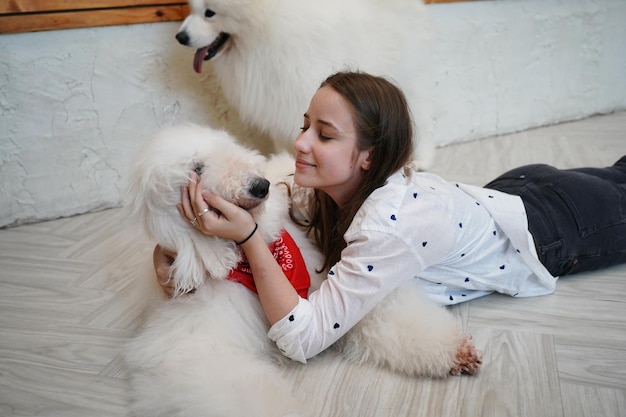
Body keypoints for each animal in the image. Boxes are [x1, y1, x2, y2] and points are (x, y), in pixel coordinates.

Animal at [124, 123, 480, 416]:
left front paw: (454, 351)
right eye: (196, 168)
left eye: (225, 146)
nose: (261, 186)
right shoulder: (197, 352)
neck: (251, 259)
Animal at [173, 0, 432, 169]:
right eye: (192, 9)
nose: (180, 37)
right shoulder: (275, 102)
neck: (264, 33)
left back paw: (419, 160)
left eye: (210, 13)